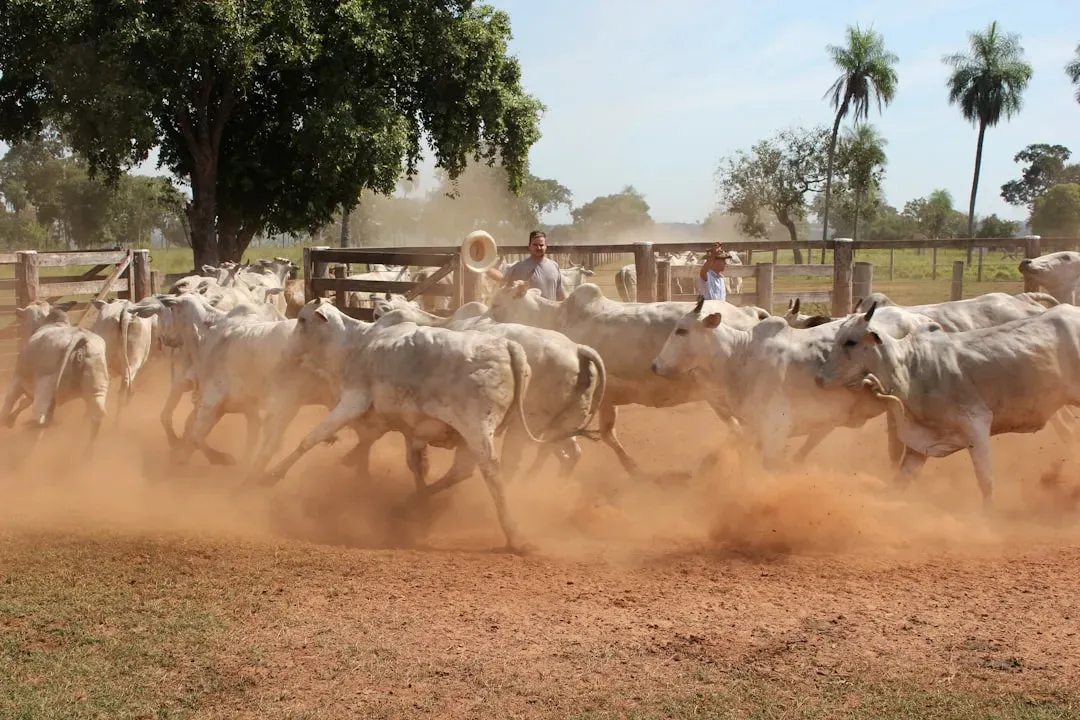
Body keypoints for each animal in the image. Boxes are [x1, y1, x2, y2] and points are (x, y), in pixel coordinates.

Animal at [1, 300, 109, 464]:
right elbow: (23, 402)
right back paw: (87, 456)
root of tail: (81, 337)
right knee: (97, 415)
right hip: (97, 388)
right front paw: (11, 420)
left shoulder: (18, 380)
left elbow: (8, 403)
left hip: (46, 387)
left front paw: (6, 421)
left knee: (39, 420)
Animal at [258, 298, 594, 553]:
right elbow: (414, 463)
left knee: (494, 473)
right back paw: (413, 505)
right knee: (464, 471)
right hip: (487, 435)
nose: (287, 351)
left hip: (479, 428)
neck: (356, 344)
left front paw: (269, 476)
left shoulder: (354, 400)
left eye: (303, 320)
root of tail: (509, 347)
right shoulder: (406, 426)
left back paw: (515, 536)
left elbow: (312, 438)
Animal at [650, 297, 935, 469]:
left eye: (682, 330)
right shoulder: (753, 426)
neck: (739, 356)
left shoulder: (775, 429)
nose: (655, 365)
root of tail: (923, 321)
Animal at [815, 301, 1080, 509]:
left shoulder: (977, 425)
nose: (820, 379)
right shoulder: (919, 445)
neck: (911, 367)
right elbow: (899, 483)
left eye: (851, 342)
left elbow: (986, 482)